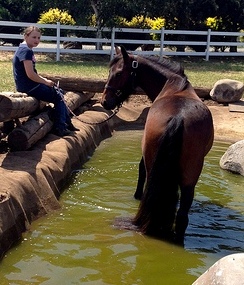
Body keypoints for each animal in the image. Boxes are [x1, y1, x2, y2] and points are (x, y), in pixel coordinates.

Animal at [100, 46, 214, 242]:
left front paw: (137, 196)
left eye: (119, 73)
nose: (105, 101)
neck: (174, 86)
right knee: (182, 216)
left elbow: (140, 170)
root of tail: (178, 117)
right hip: (190, 177)